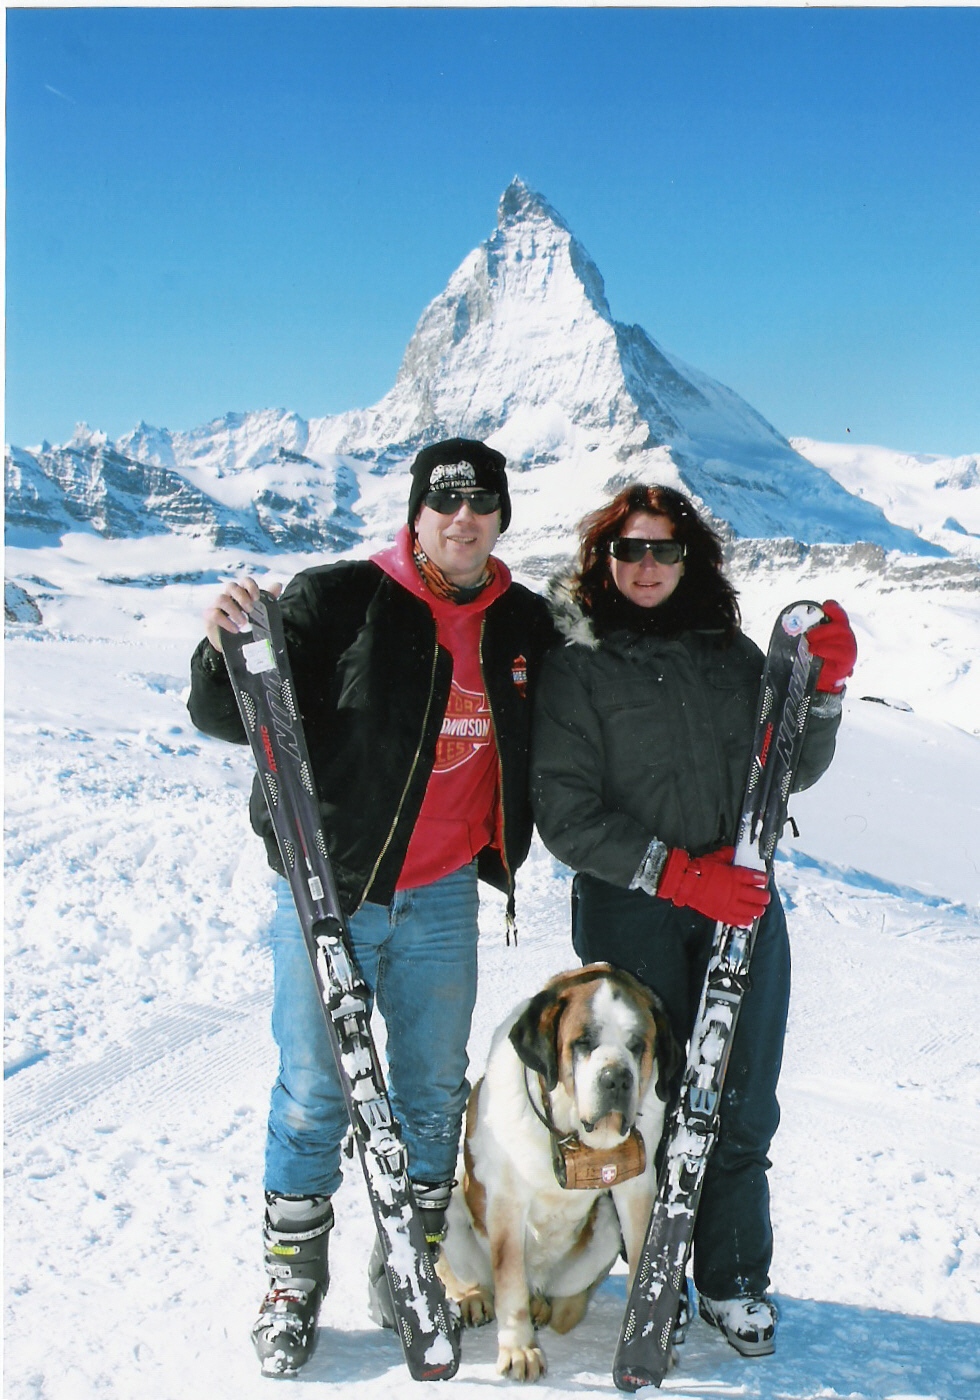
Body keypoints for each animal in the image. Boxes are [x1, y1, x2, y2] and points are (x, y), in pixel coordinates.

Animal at [439, 963, 680, 1377]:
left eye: (637, 1045)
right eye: (583, 1042)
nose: (616, 1077)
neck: (570, 1137)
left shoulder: (635, 1189)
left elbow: (641, 1261)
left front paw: (640, 1343)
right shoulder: (507, 1201)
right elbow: (509, 1279)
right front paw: (519, 1351)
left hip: (604, 1225)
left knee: (565, 1298)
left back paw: (545, 1306)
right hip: (451, 1207)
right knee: (476, 1280)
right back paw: (476, 1300)